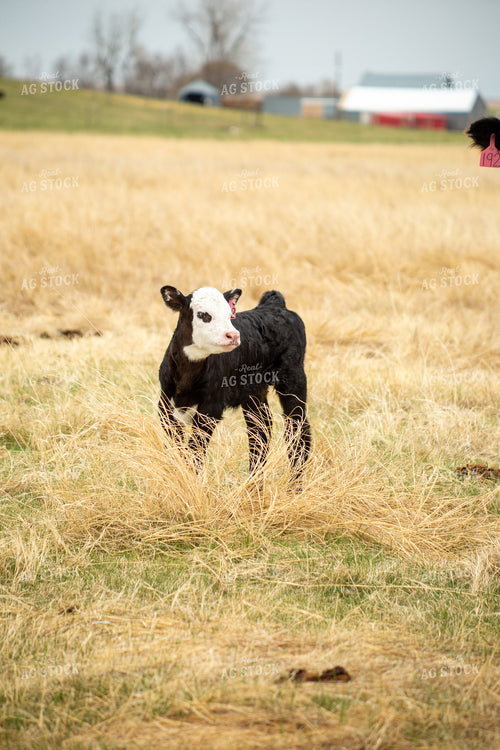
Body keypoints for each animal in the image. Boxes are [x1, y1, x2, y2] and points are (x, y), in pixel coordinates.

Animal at [158, 286, 311, 484]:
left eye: (229, 314)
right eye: (203, 315)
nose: (233, 335)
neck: (187, 375)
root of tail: (274, 305)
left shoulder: (211, 406)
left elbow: (195, 448)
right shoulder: (165, 404)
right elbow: (175, 446)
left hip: (294, 378)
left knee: (298, 428)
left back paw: (294, 486)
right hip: (254, 391)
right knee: (260, 427)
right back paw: (254, 484)